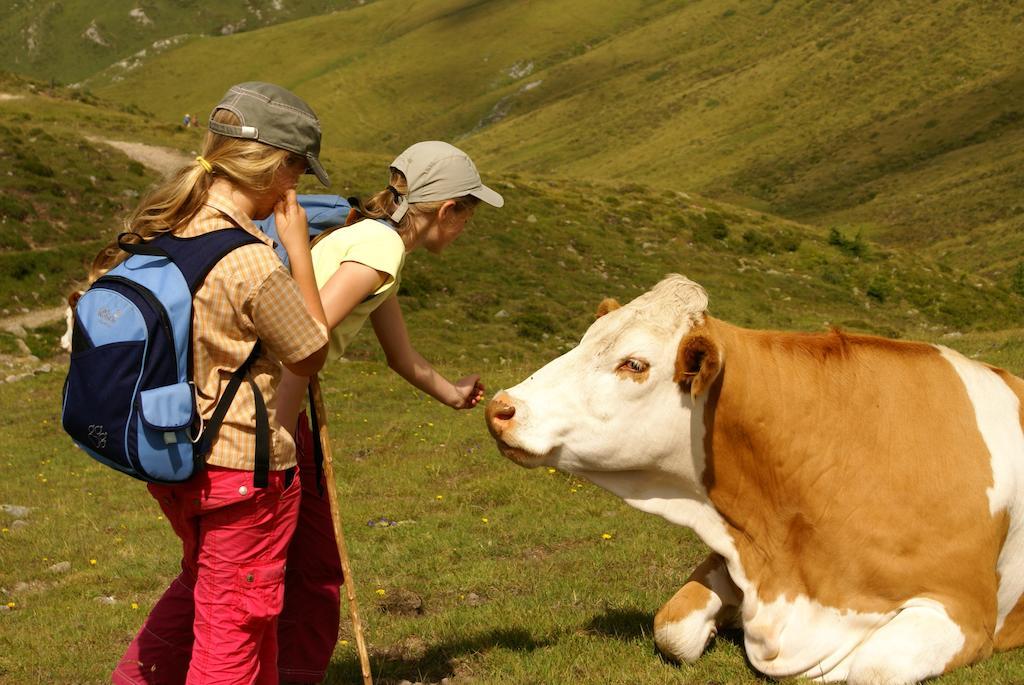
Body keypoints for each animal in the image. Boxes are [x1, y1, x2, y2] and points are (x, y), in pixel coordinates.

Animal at [485, 274, 1024, 683]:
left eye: (633, 364)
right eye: (582, 341)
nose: (501, 407)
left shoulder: (965, 612)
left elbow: (873, 668)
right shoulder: (739, 553)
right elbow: (670, 627)